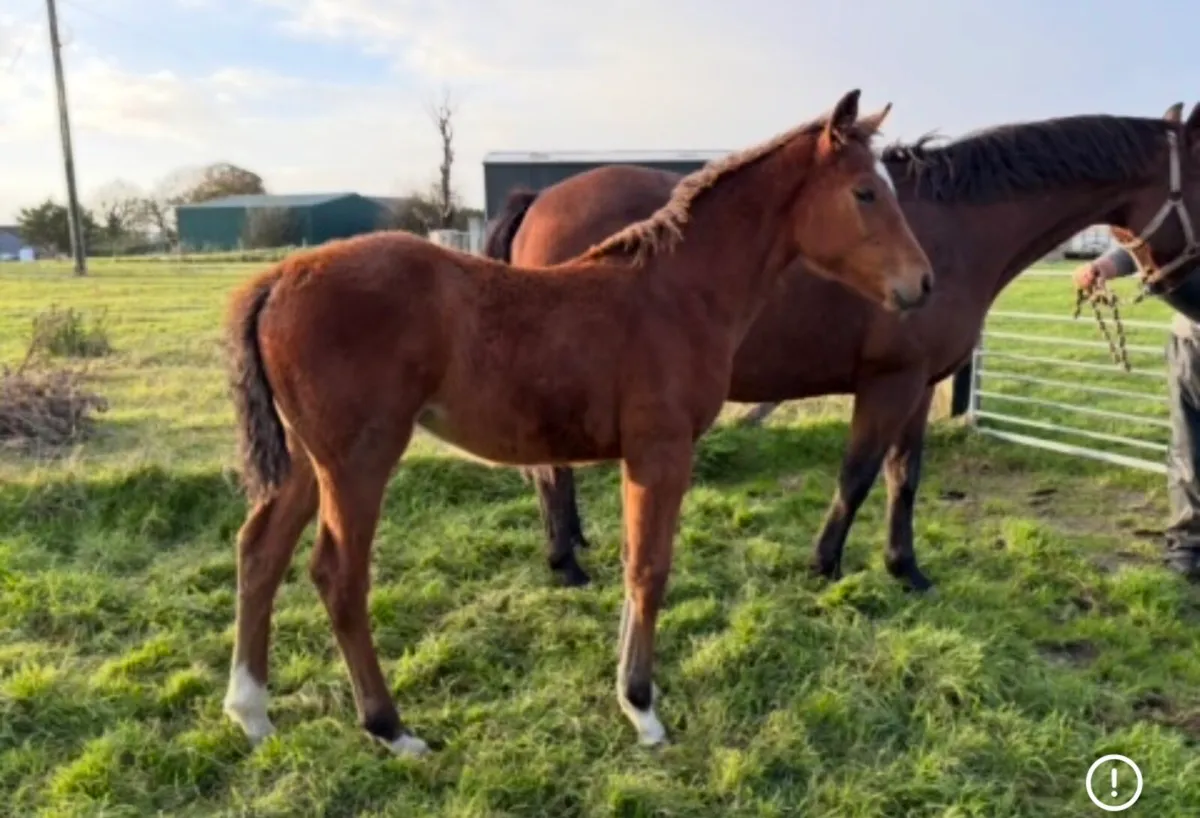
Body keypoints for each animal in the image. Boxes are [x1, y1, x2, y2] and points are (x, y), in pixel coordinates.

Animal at [220, 89, 934, 753]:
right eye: (865, 191)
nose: (923, 284)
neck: (676, 293)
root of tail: (279, 279)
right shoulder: (661, 451)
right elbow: (650, 567)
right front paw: (643, 708)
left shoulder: (637, 458)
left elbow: (631, 560)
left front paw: (626, 691)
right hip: (359, 461)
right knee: (338, 576)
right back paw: (390, 728)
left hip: (309, 462)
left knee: (259, 553)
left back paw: (252, 713)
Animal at [490, 102, 1200, 591]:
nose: (1192, 296)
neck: (954, 229)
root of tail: (540, 196)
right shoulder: (889, 381)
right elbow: (857, 474)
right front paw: (825, 564)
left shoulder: (920, 387)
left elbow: (903, 478)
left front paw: (905, 568)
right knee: (549, 468)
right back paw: (564, 561)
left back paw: (574, 543)